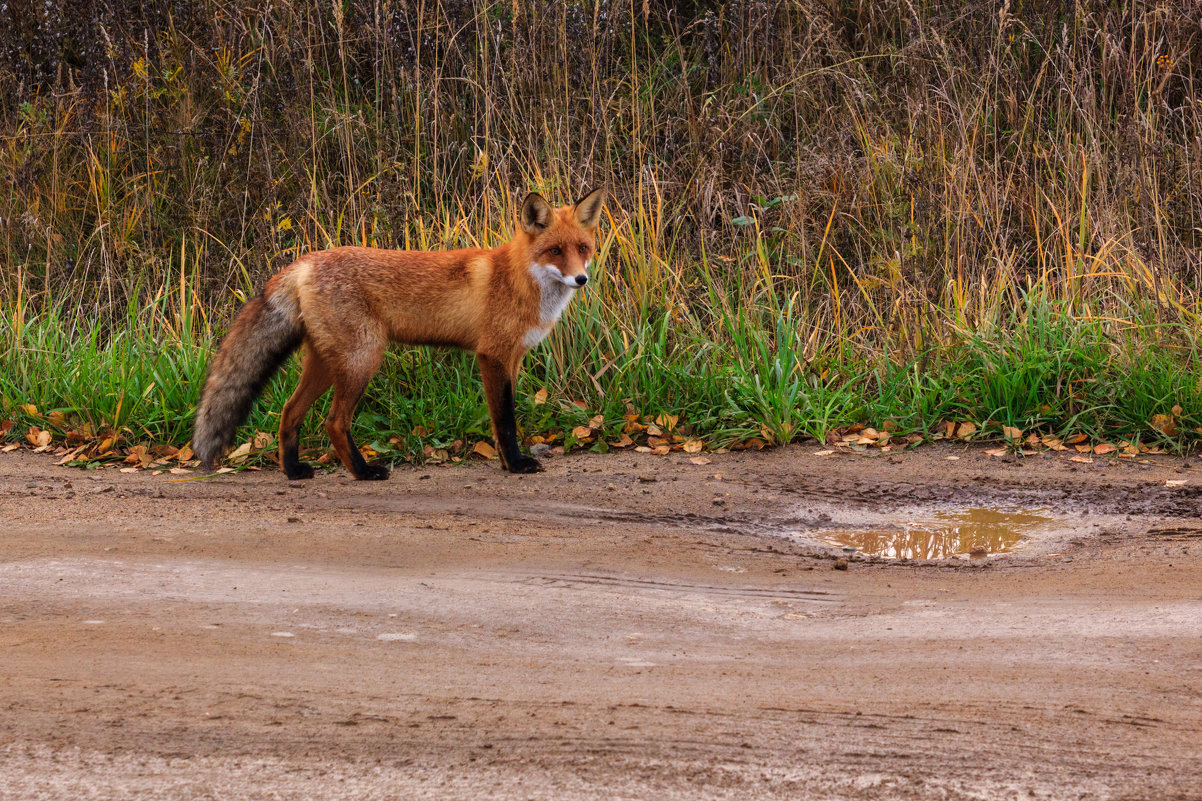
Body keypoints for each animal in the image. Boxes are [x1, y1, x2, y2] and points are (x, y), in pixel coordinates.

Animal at [193, 190, 605, 476]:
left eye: (583, 248)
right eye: (555, 251)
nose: (580, 279)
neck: (520, 281)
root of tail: (305, 261)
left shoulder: (512, 359)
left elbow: (499, 418)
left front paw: (508, 463)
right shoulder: (492, 355)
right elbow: (505, 421)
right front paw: (517, 466)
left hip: (327, 364)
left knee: (289, 411)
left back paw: (293, 471)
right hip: (363, 359)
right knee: (334, 421)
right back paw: (363, 472)